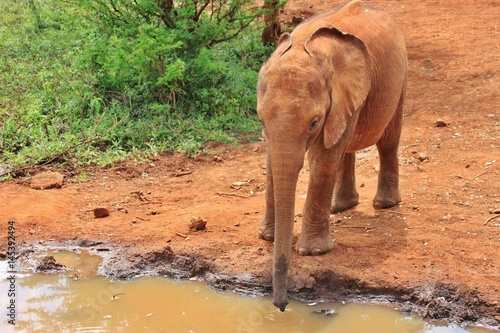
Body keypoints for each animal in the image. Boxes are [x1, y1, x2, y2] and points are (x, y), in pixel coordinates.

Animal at [256, 0, 408, 312]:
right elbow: (272, 164)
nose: (281, 306)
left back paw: (385, 204)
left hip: (398, 80)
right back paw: (341, 207)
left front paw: (313, 252)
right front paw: (268, 237)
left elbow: (323, 162)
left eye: (314, 123)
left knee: (388, 140)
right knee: (346, 147)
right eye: (261, 120)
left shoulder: (341, 94)